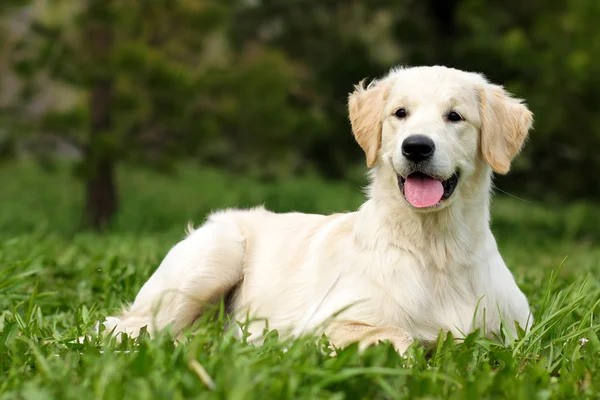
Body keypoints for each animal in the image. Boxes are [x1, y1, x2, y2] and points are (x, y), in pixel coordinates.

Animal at [99, 65, 536, 354]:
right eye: (400, 113)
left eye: (455, 116)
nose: (416, 146)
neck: (436, 249)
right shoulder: (322, 324)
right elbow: (399, 335)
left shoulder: (518, 333)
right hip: (212, 258)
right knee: (124, 328)